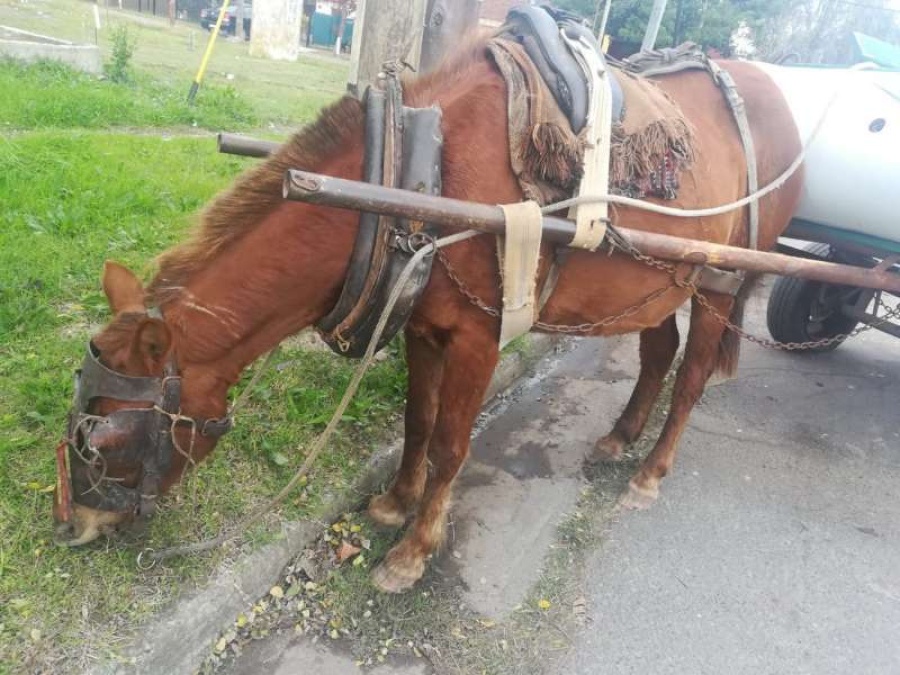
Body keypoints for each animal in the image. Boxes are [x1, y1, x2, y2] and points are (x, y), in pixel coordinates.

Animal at [52, 36, 802, 593]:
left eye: (108, 440)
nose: (72, 524)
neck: (422, 171)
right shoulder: (419, 323)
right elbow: (418, 419)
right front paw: (393, 502)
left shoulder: (479, 337)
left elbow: (450, 443)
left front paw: (414, 551)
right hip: (662, 282)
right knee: (656, 353)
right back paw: (620, 436)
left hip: (721, 280)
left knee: (692, 374)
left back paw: (649, 472)